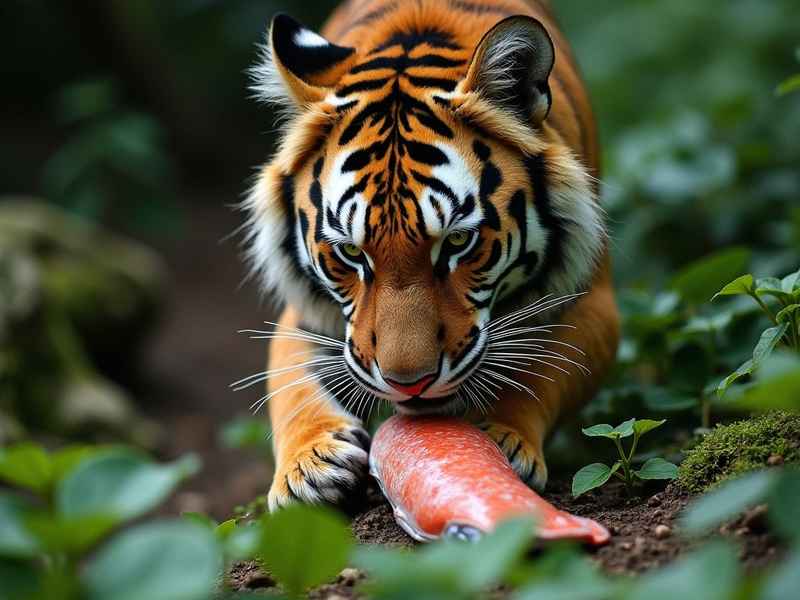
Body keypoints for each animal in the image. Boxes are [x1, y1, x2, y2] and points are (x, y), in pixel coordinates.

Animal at [241, 0, 619, 511]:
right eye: (349, 252)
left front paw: (500, 437)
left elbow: (544, 370)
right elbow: (291, 384)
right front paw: (311, 466)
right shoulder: (308, 313)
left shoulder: (593, 300)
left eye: (458, 243)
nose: (409, 384)